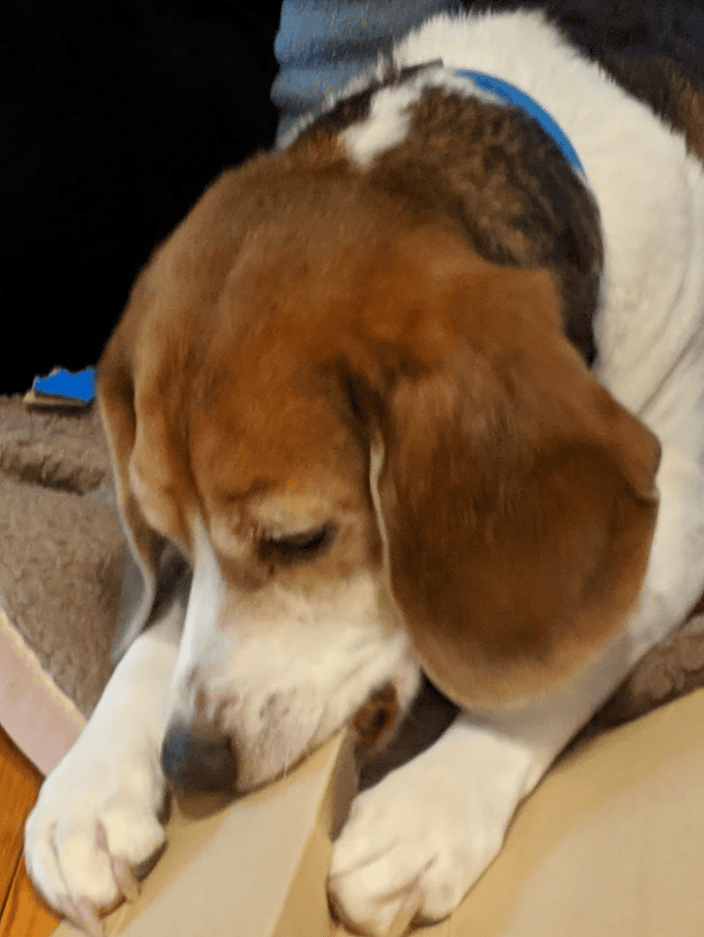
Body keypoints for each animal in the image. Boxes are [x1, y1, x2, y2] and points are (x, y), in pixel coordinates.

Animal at [24, 6, 704, 936]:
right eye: (170, 541)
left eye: (301, 538)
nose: (190, 762)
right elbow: (167, 620)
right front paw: (90, 784)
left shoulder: (685, 491)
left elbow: (574, 652)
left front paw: (431, 808)